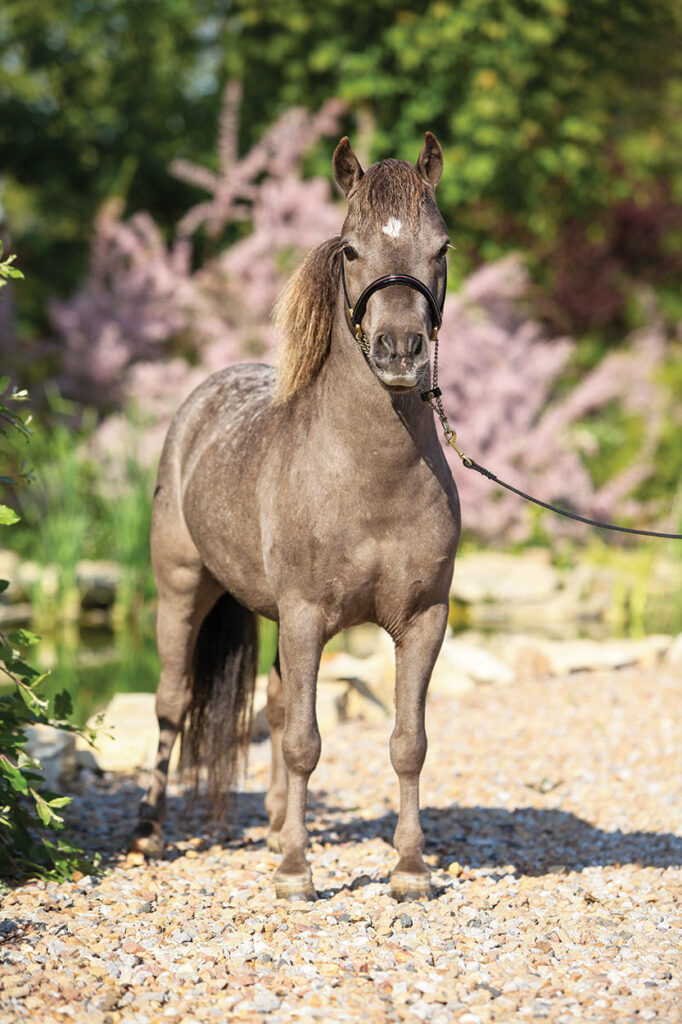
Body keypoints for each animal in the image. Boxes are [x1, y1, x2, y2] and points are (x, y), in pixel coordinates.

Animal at [130, 132, 461, 902]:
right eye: (351, 250)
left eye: (442, 247)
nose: (400, 351)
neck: (370, 478)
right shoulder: (308, 617)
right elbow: (307, 742)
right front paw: (295, 873)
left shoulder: (423, 621)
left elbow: (408, 743)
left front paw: (409, 870)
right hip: (180, 590)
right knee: (172, 700)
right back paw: (149, 832)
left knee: (276, 709)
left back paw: (279, 824)